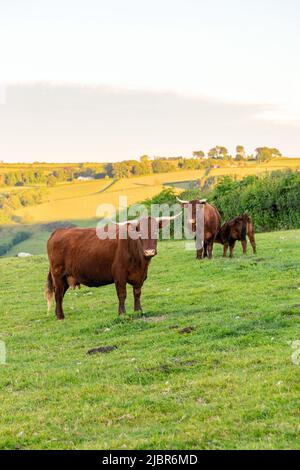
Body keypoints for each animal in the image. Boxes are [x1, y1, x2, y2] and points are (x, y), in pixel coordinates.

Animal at [44, 214, 180, 320]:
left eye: (156, 232)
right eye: (140, 233)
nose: (149, 252)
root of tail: (58, 231)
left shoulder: (140, 276)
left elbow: (137, 293)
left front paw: (138, 311)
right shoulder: (119, 275)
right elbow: (122, 294)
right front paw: (122, 314)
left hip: (66, 278)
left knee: (60, 294)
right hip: (58, 274)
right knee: (58, 294)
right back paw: (60, 316)